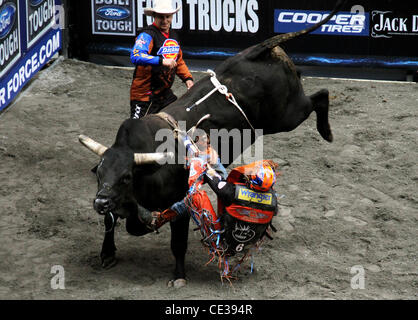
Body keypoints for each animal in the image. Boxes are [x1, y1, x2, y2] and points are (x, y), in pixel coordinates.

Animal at [80, 0, 344, 284]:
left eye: (126, 176)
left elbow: (175, 241)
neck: (148, 169)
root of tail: (258, 50)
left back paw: (327, 132)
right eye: (100, 173)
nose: (100, 202)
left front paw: (179, 276)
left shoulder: (182, 203)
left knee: (320, 95)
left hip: (287, 114)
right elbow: (114, 222)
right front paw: (107, 253)